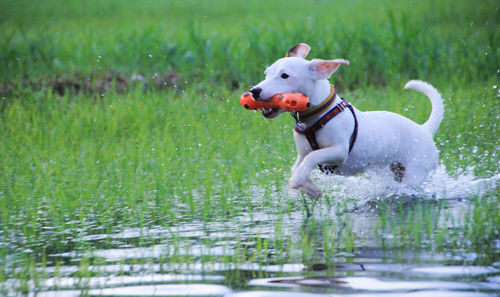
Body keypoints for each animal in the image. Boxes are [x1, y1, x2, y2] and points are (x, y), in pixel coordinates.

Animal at [252, 42, 444, 198]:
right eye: (266, 73)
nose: (254, 91)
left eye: (284, 75)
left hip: (416, 172)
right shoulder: (302, 153)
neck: (317, 116)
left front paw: (298, 180)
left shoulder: (339, 151)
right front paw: (310, 189)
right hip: (397, 170)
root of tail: (425, 129)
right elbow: (297, 166)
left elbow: (313, 156)